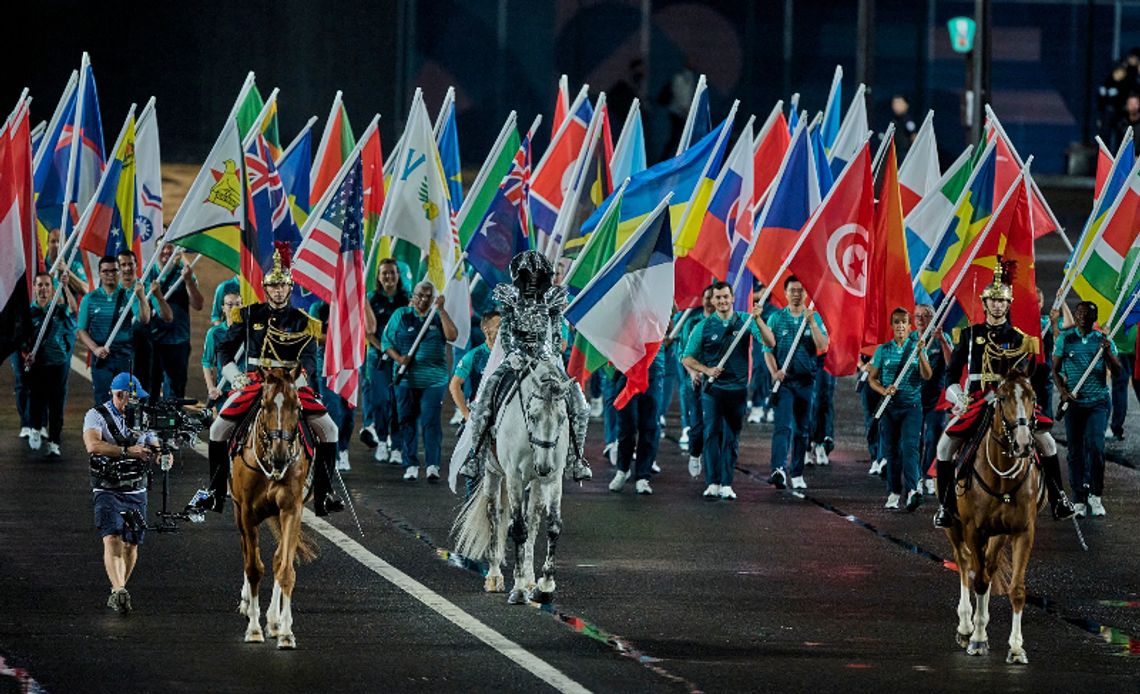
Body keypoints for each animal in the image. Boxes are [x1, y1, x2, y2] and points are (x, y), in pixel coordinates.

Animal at [228, 371, 316, 647]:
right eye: (265, 406)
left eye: (296, 406)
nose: (280, 456)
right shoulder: (247, 513)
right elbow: (254, 568)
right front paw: (254, 628)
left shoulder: (291, 510)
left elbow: (284, 568)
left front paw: (285, 631)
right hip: (238, 513)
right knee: (246, 552)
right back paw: (248, 604)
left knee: (278, 559)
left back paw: (275, 621)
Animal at [453, 357, 574, 601]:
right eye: (533, 415)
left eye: (562, 418)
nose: (543, 467)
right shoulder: (514, 477)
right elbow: (517, 528)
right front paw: (517, 589)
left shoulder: (554, 478)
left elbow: (552, 526)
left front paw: (545, 585)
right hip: (493, 473)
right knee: (494, 514)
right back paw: (494, 576)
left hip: (536, 484)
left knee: (533, 520)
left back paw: (529, 578)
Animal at [948, 373, 1044, 665]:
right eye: (1002, 397)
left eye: (1033, 396)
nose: (1023, 444)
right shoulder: (973, 530)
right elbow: (977, 580)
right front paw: (977, 639)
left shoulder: (1023, 531)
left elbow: (1016, 589)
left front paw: (1016, 647)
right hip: (954, 527)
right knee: (965, 563)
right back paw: (966, 626)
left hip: (998, 534)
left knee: (988, 568)